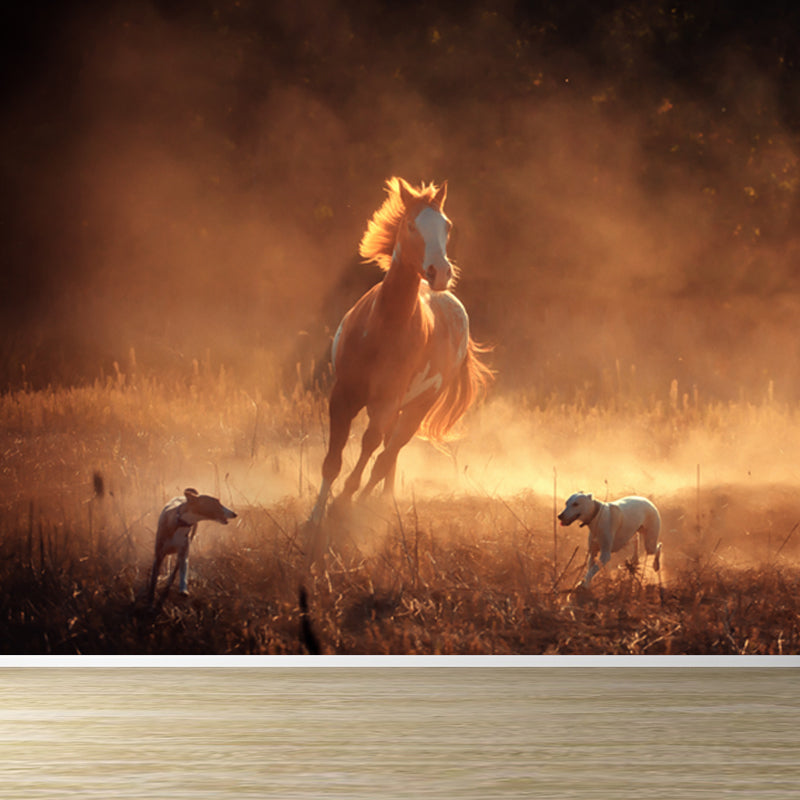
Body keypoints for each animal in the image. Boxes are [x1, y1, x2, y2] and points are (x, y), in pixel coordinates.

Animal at [308, 177, 492, 525]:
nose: (440, 272)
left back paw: (366, 504)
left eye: (447, 226)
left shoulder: (386, 401)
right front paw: (315, 515)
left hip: (416, 407)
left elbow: (370, 448)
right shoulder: (342, 396)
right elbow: (333, 458)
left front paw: (343, 502)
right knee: (387, 457)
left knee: (386, 455)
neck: (383, 327)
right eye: (410, 224)